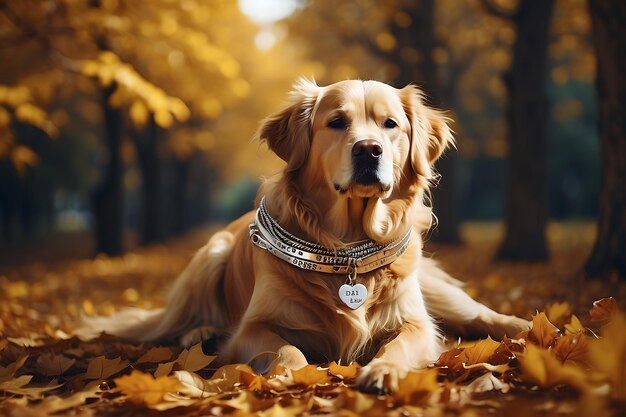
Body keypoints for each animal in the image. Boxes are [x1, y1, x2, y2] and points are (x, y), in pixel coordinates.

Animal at [85, 79, 528, 392]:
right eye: (337, 122)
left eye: (390, 125)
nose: (369, 149)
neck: (347, 247)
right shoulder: (253, 327)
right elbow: (287, 348)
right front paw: (293, 374)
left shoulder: (415, 322)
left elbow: (399, 344)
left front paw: (383, 369)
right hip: (211, 254)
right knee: (187, 319)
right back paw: (201, 332)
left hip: (434, 290)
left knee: (476, 313)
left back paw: (525, 326)